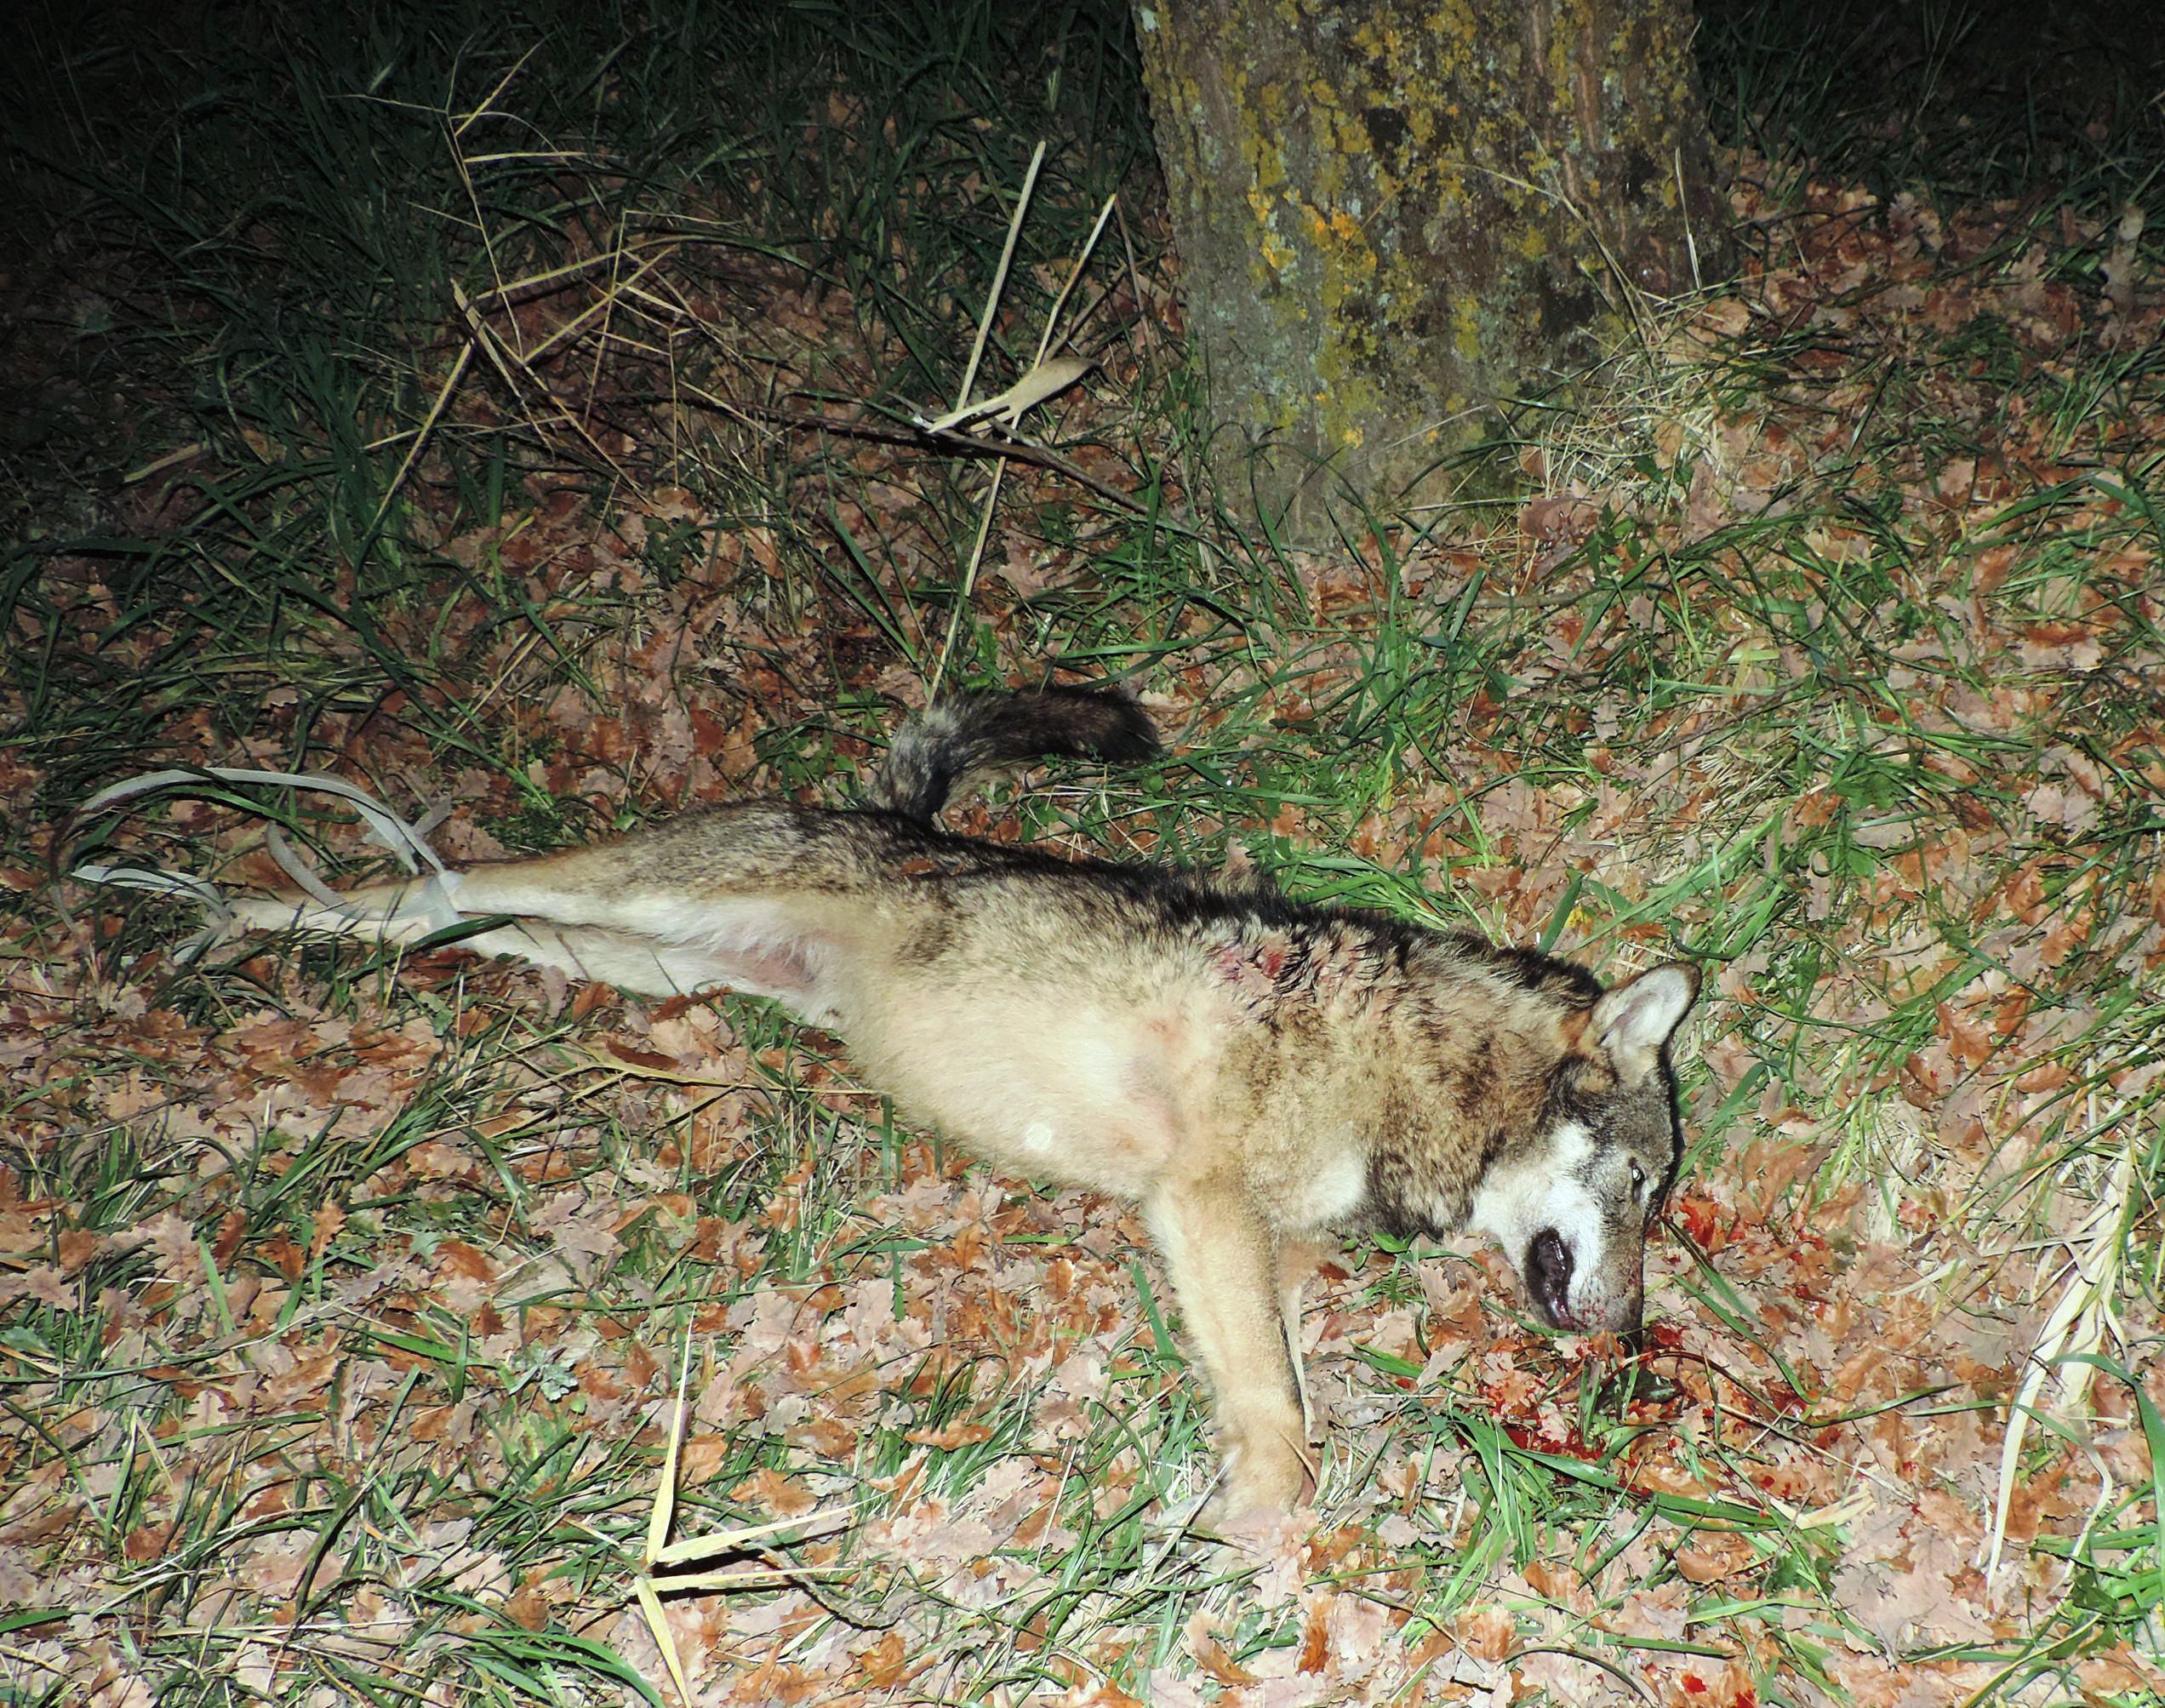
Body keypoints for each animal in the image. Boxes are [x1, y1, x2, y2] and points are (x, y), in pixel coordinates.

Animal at [226, 687, 1697, 1519]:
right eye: (1640, 1188)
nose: (1631, 1335)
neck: (1415, 1062)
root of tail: (899, 823)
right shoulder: (1204, 1197)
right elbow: (1278, 1404)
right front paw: (1270, 1521)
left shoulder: (1235, 1225)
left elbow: (1272, 1369)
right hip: (632, 892)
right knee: (452, 873)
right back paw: (226, 897)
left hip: (645, 957)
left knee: (459, 916)